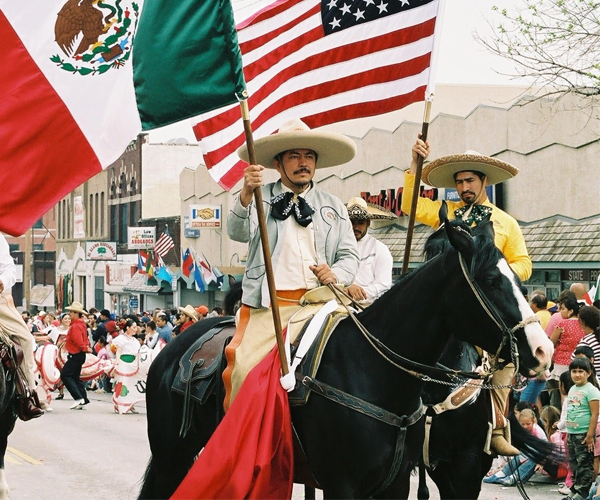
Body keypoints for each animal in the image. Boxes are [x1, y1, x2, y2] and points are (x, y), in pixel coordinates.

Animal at [137, 209, 552, 498]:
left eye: (519, 279)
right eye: (491, 280)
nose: (542, 349)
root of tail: (175, 349)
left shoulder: (408, 481)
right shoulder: (343, 484)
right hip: (172, 455)